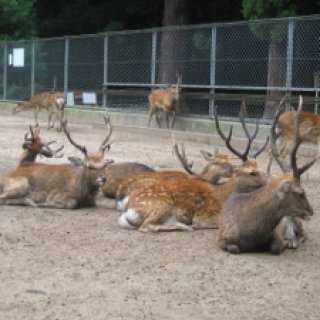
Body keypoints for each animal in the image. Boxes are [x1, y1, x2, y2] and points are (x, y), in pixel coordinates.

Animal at [116, 111, 268, 231]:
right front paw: (194, 224)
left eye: (262, 168)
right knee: (146, 226)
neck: (223, 195)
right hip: (160, 205)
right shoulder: (205, 215)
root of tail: (127, 208)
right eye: (252, 172)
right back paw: (186, 226)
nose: (269, 183)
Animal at [219, 96, 316, 254]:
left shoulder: (277, 235)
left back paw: (293, 241)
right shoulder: (222, 237)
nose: (311, 211)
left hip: (295, 219)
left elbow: (276, 247)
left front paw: (287, 243)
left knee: (304, 235)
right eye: (301, 192)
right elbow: (234, 248)